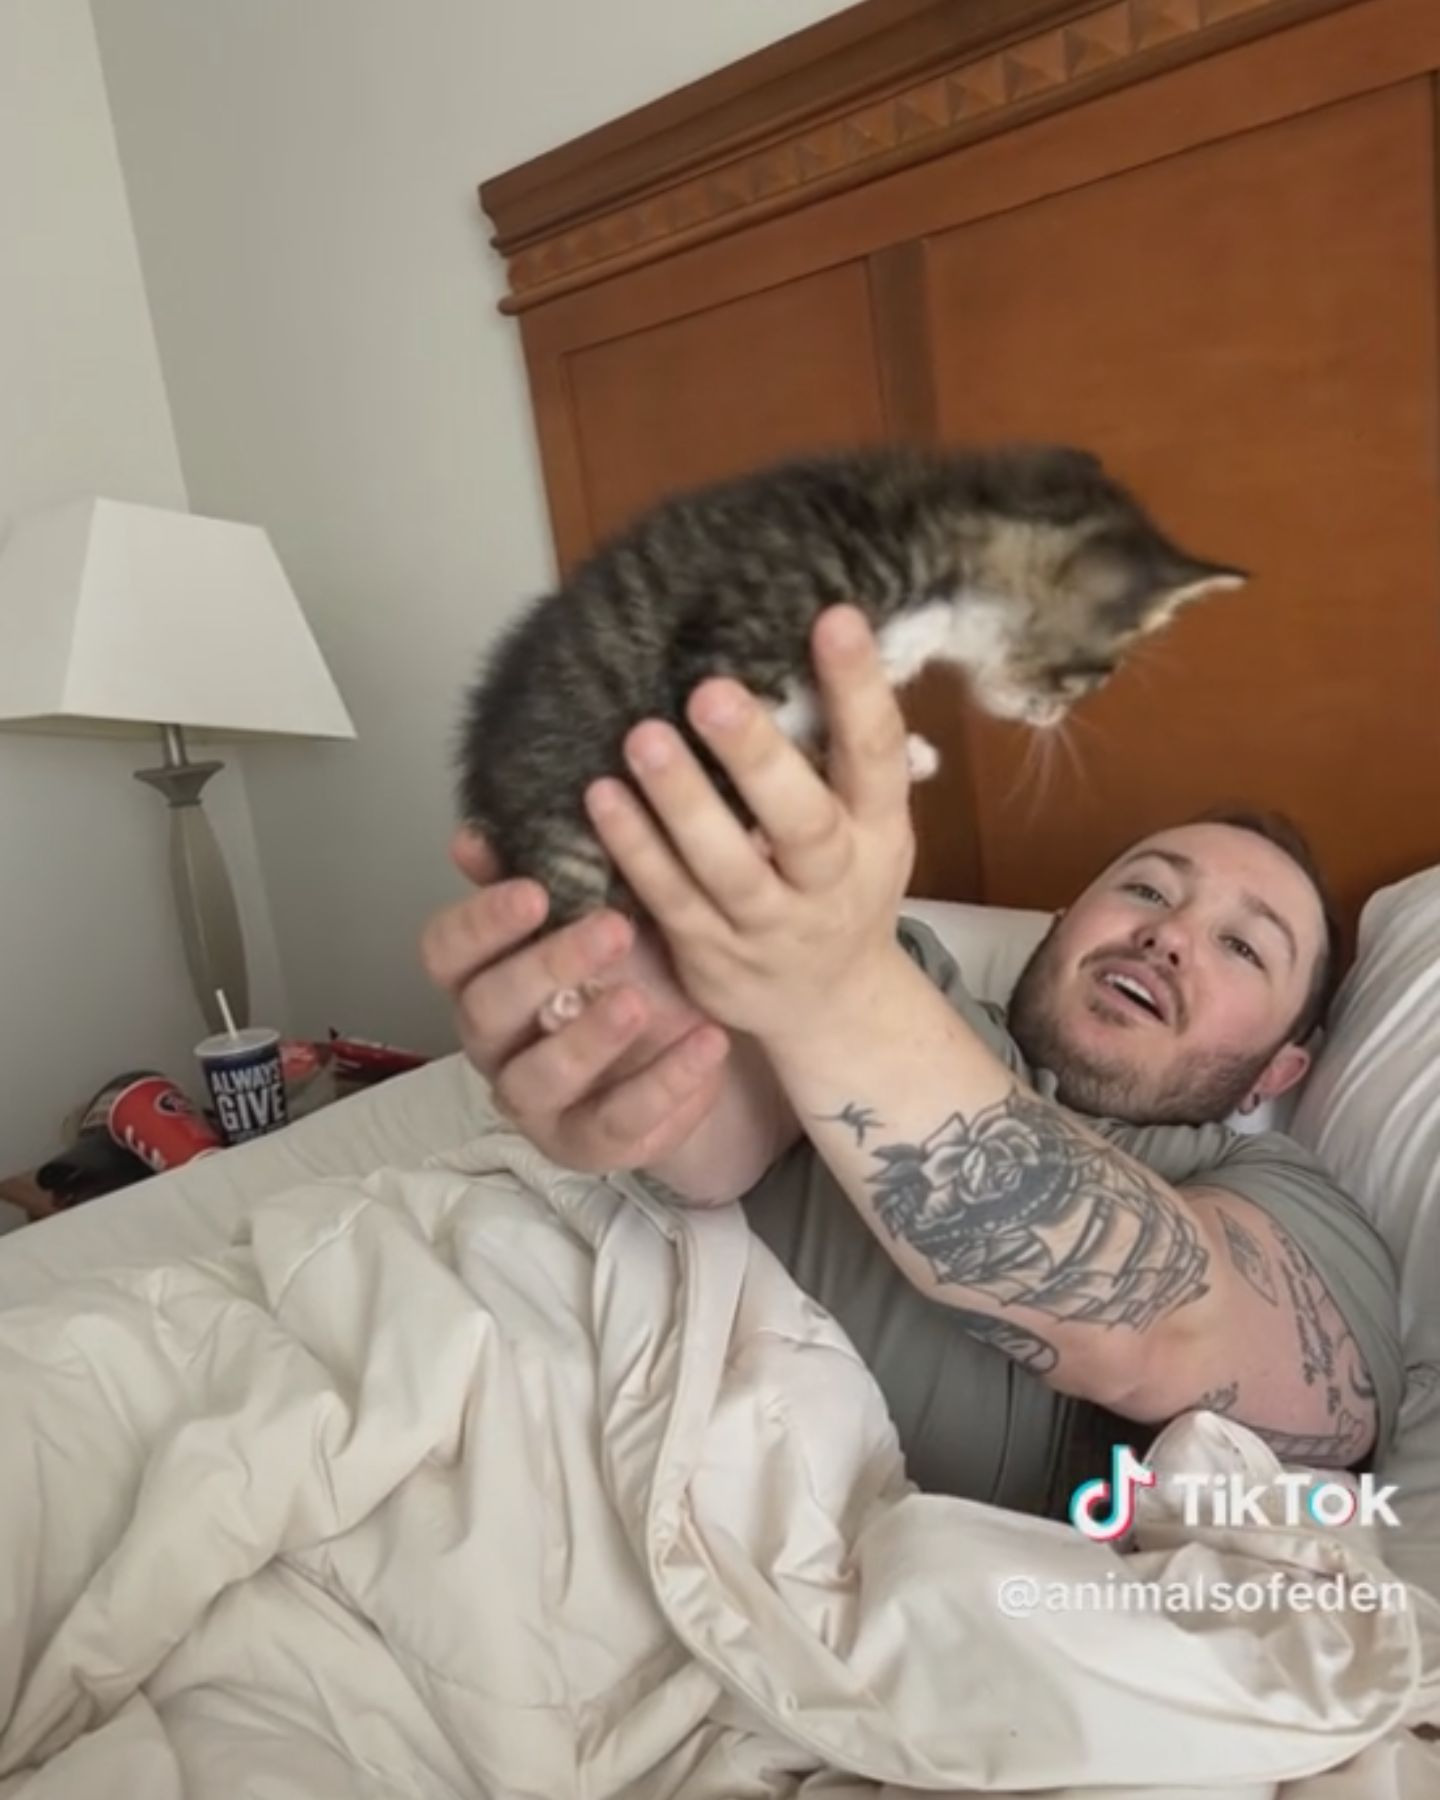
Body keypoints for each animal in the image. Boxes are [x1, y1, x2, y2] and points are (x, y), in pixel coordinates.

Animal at [459, 441, 1238, 921]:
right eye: (1090, 679)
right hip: (559, 818)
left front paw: (902, 752)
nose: (1051, 722)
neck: (936, 542)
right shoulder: (724, 650)